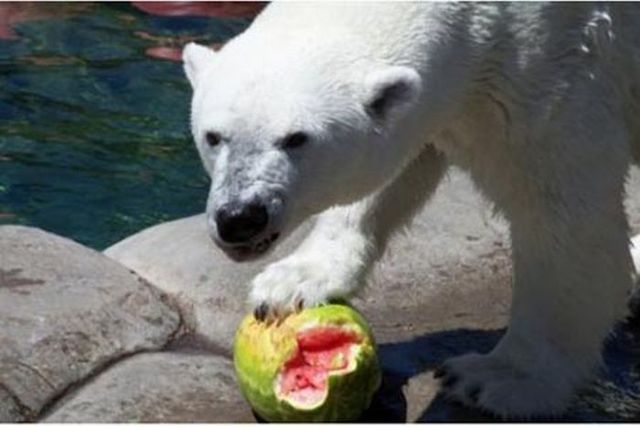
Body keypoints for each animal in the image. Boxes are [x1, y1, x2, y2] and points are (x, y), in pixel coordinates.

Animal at [182, 2, 640, 418]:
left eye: (297, 138)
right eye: (214, 136)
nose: (240, 217)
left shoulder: (559, 69)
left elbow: (560, 219)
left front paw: (500, 378)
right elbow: (399, 164)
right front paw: (291, 283)